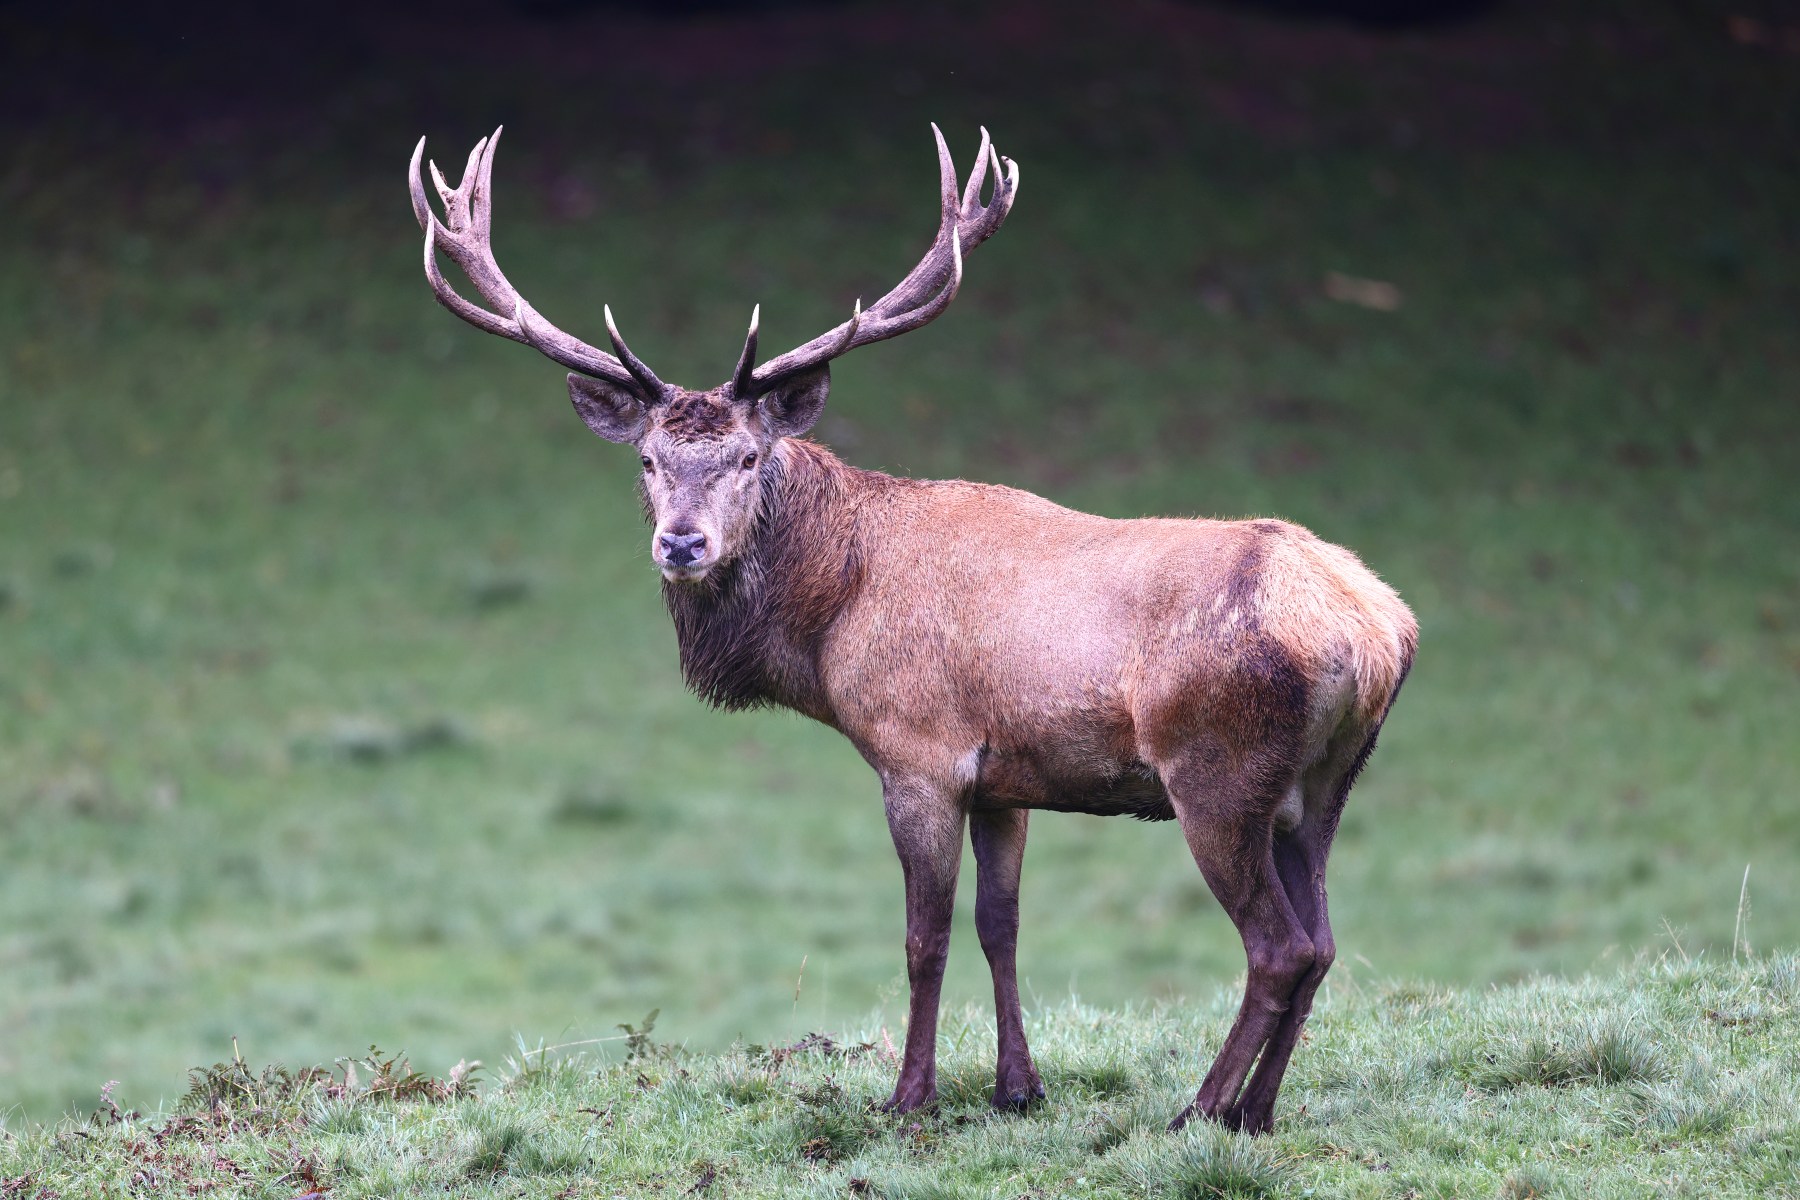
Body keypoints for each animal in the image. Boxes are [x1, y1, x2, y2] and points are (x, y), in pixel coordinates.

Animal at [408, 124, 1416, 1135]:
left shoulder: (917, 754)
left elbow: (922, 935)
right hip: (1323, 784)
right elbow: (1001, 927)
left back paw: (1199, 1112)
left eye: (748, 456)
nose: (681, 543)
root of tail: (1376, 630)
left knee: (1279, 947)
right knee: (1322, 943)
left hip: (1218, 771)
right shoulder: (1008, 777)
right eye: (650, 460)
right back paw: (1256, 1112)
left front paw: (908, 1096)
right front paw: (1018, 1087)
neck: (827, 622)